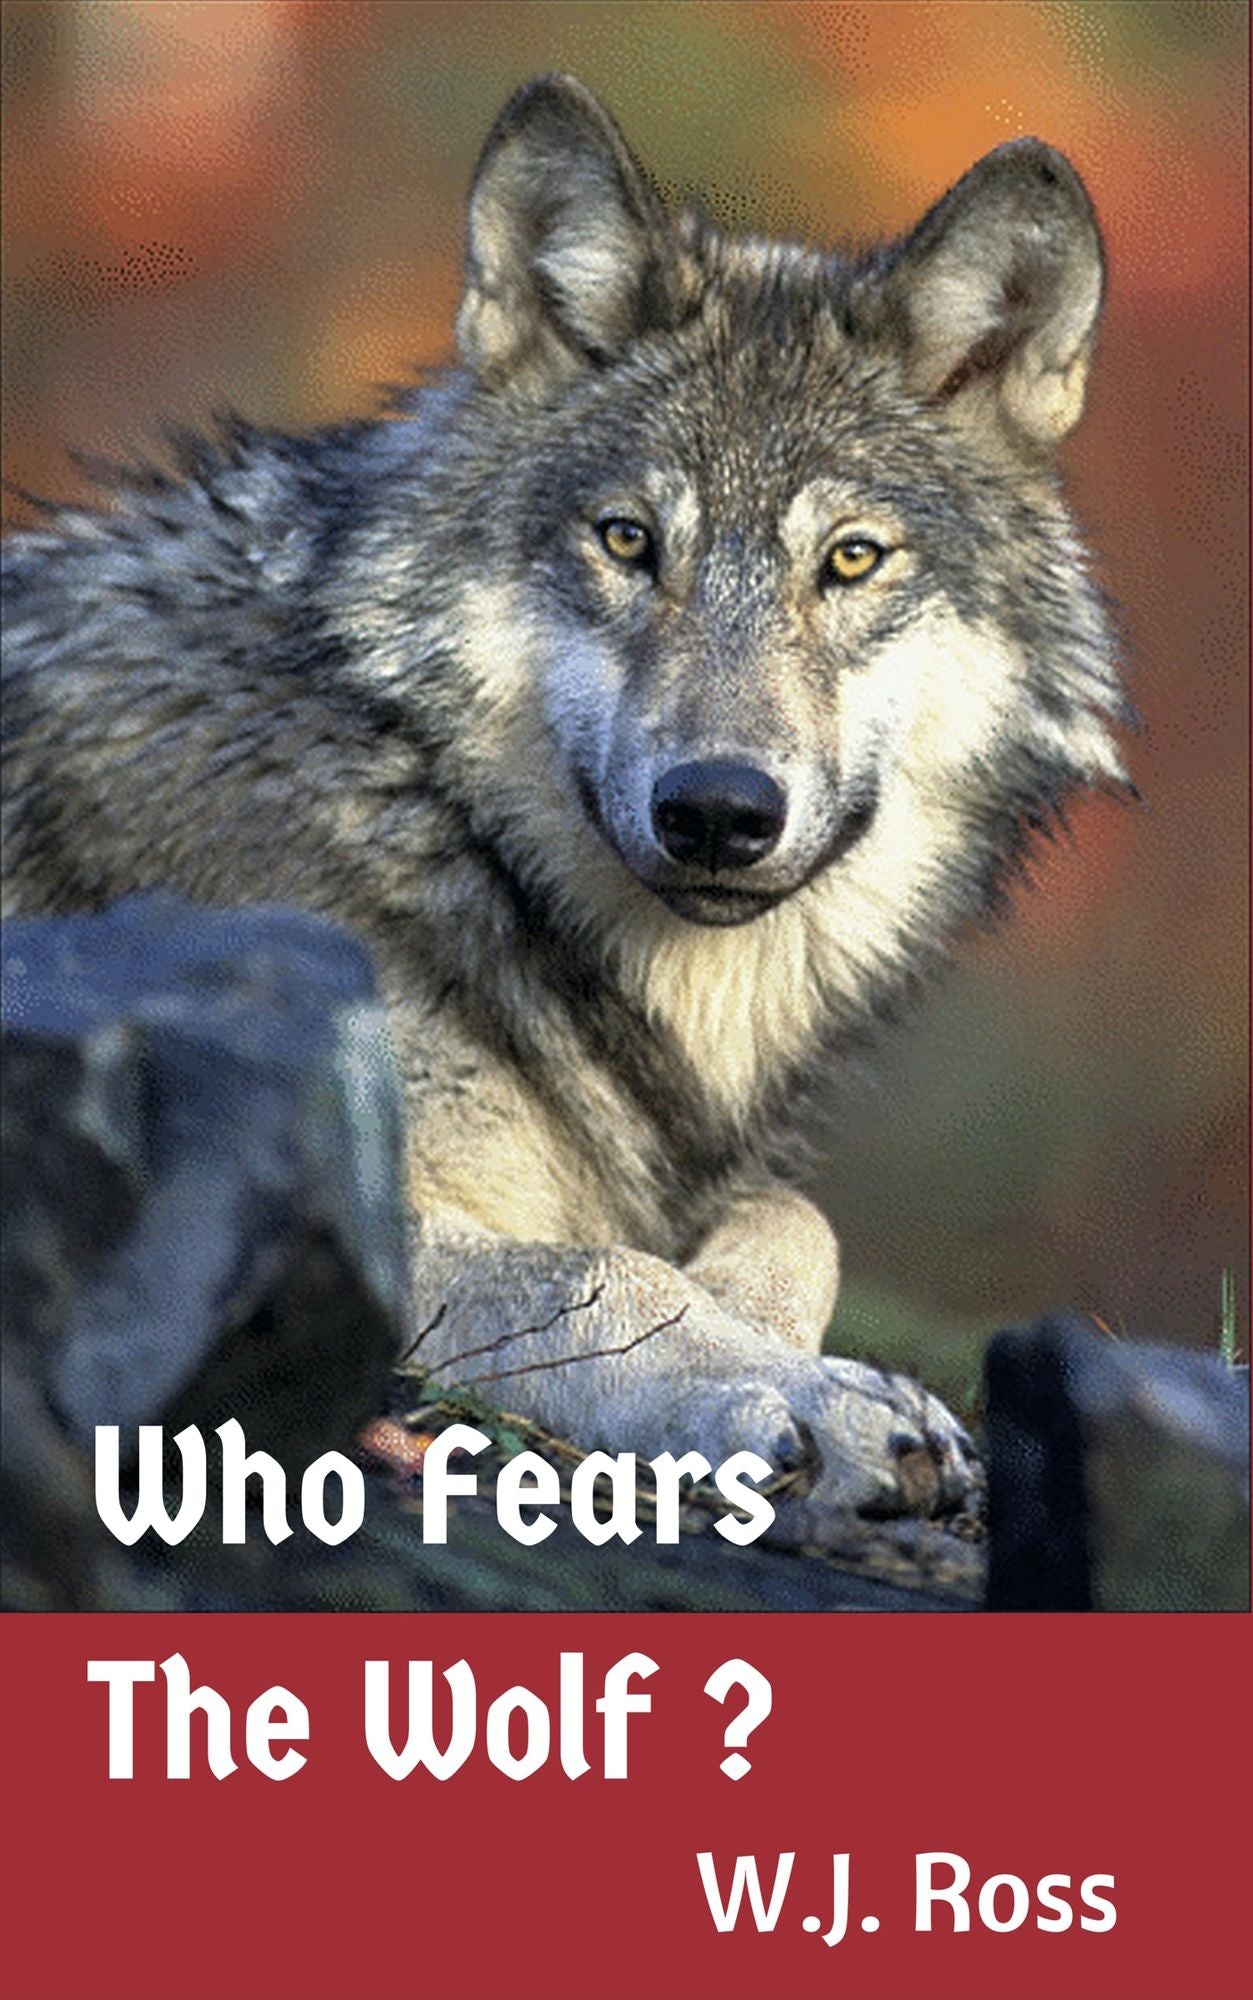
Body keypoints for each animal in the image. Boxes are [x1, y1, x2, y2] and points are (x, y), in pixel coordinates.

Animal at [2, 75, 1128, 1542]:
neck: (430, 814)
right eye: (627, 541)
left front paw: (788, 1349)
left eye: (849, 560)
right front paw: (811, 1396)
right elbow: (605, 1273)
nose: (717, 811)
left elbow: (790, 1219)